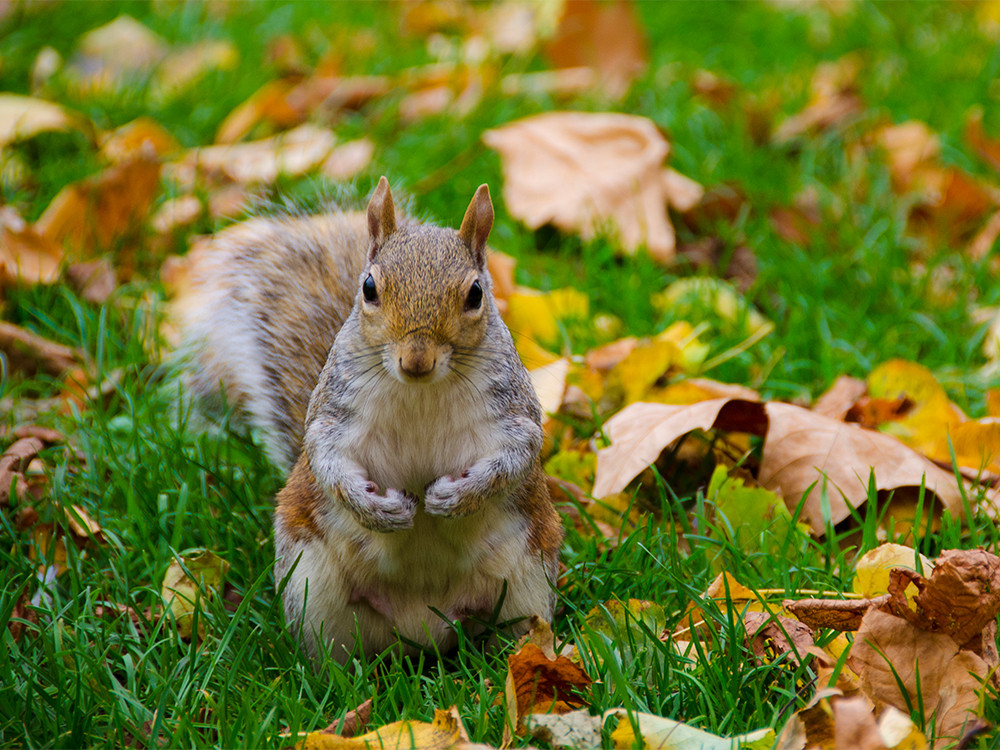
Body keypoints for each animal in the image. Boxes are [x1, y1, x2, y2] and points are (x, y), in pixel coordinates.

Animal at [177, 176, 568, 664]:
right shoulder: (334, 413)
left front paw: (455, 496)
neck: (420, 392)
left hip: (524, 582)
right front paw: (378, 509)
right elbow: (325, 459)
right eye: (368, 288)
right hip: (313, 587)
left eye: (476, 294)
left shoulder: (511, 411)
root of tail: (421, 632)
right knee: (331, 654)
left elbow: (515, 456)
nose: (416, 360)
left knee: (514, 636)